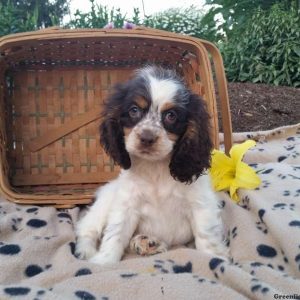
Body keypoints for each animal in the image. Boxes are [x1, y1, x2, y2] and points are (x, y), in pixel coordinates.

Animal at [75, 66, 227, 264]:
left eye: (171, 116)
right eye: (134, 110)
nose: (147, 138)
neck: (155, 168)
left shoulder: (200, 204)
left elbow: (205, 235)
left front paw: (214, 258)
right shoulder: (126, 206)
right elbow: (115, 234)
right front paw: (104, 262)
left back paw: (147, 243)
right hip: (103, 206)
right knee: (86, 228)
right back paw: (87, 251)